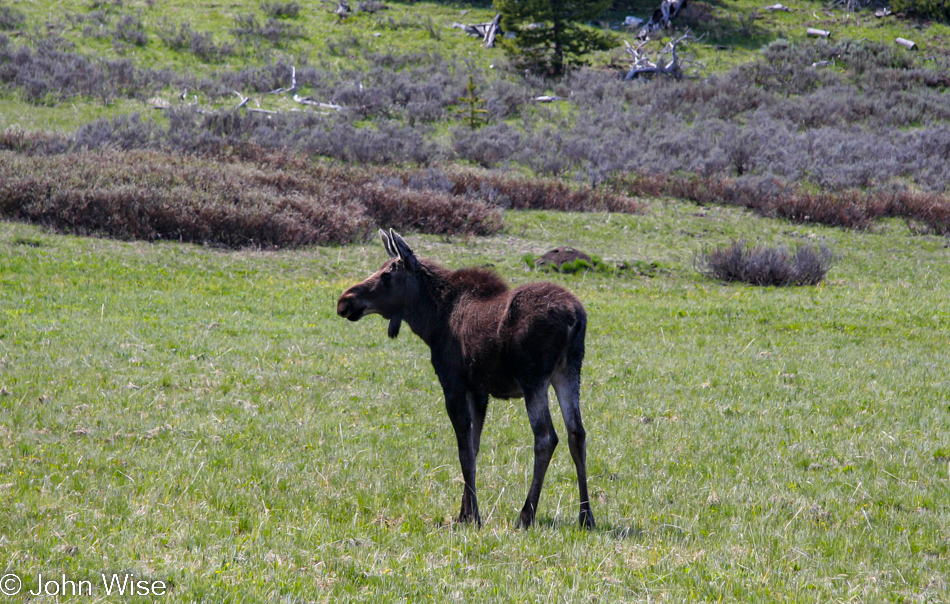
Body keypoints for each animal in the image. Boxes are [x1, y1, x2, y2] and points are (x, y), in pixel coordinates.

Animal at [336, 229, 596, 528]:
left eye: (387, 274)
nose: (344, 301)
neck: (431, 322)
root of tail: (575, 317)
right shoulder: (478, 391)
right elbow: (474, 446)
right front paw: (465, 512)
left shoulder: (453, 384)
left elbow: (463, 450)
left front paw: (473, 516)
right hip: (569, 369)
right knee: (576, 433)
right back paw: (586, 516)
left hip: (534, 377)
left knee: (546, 437)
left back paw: (526, 514)